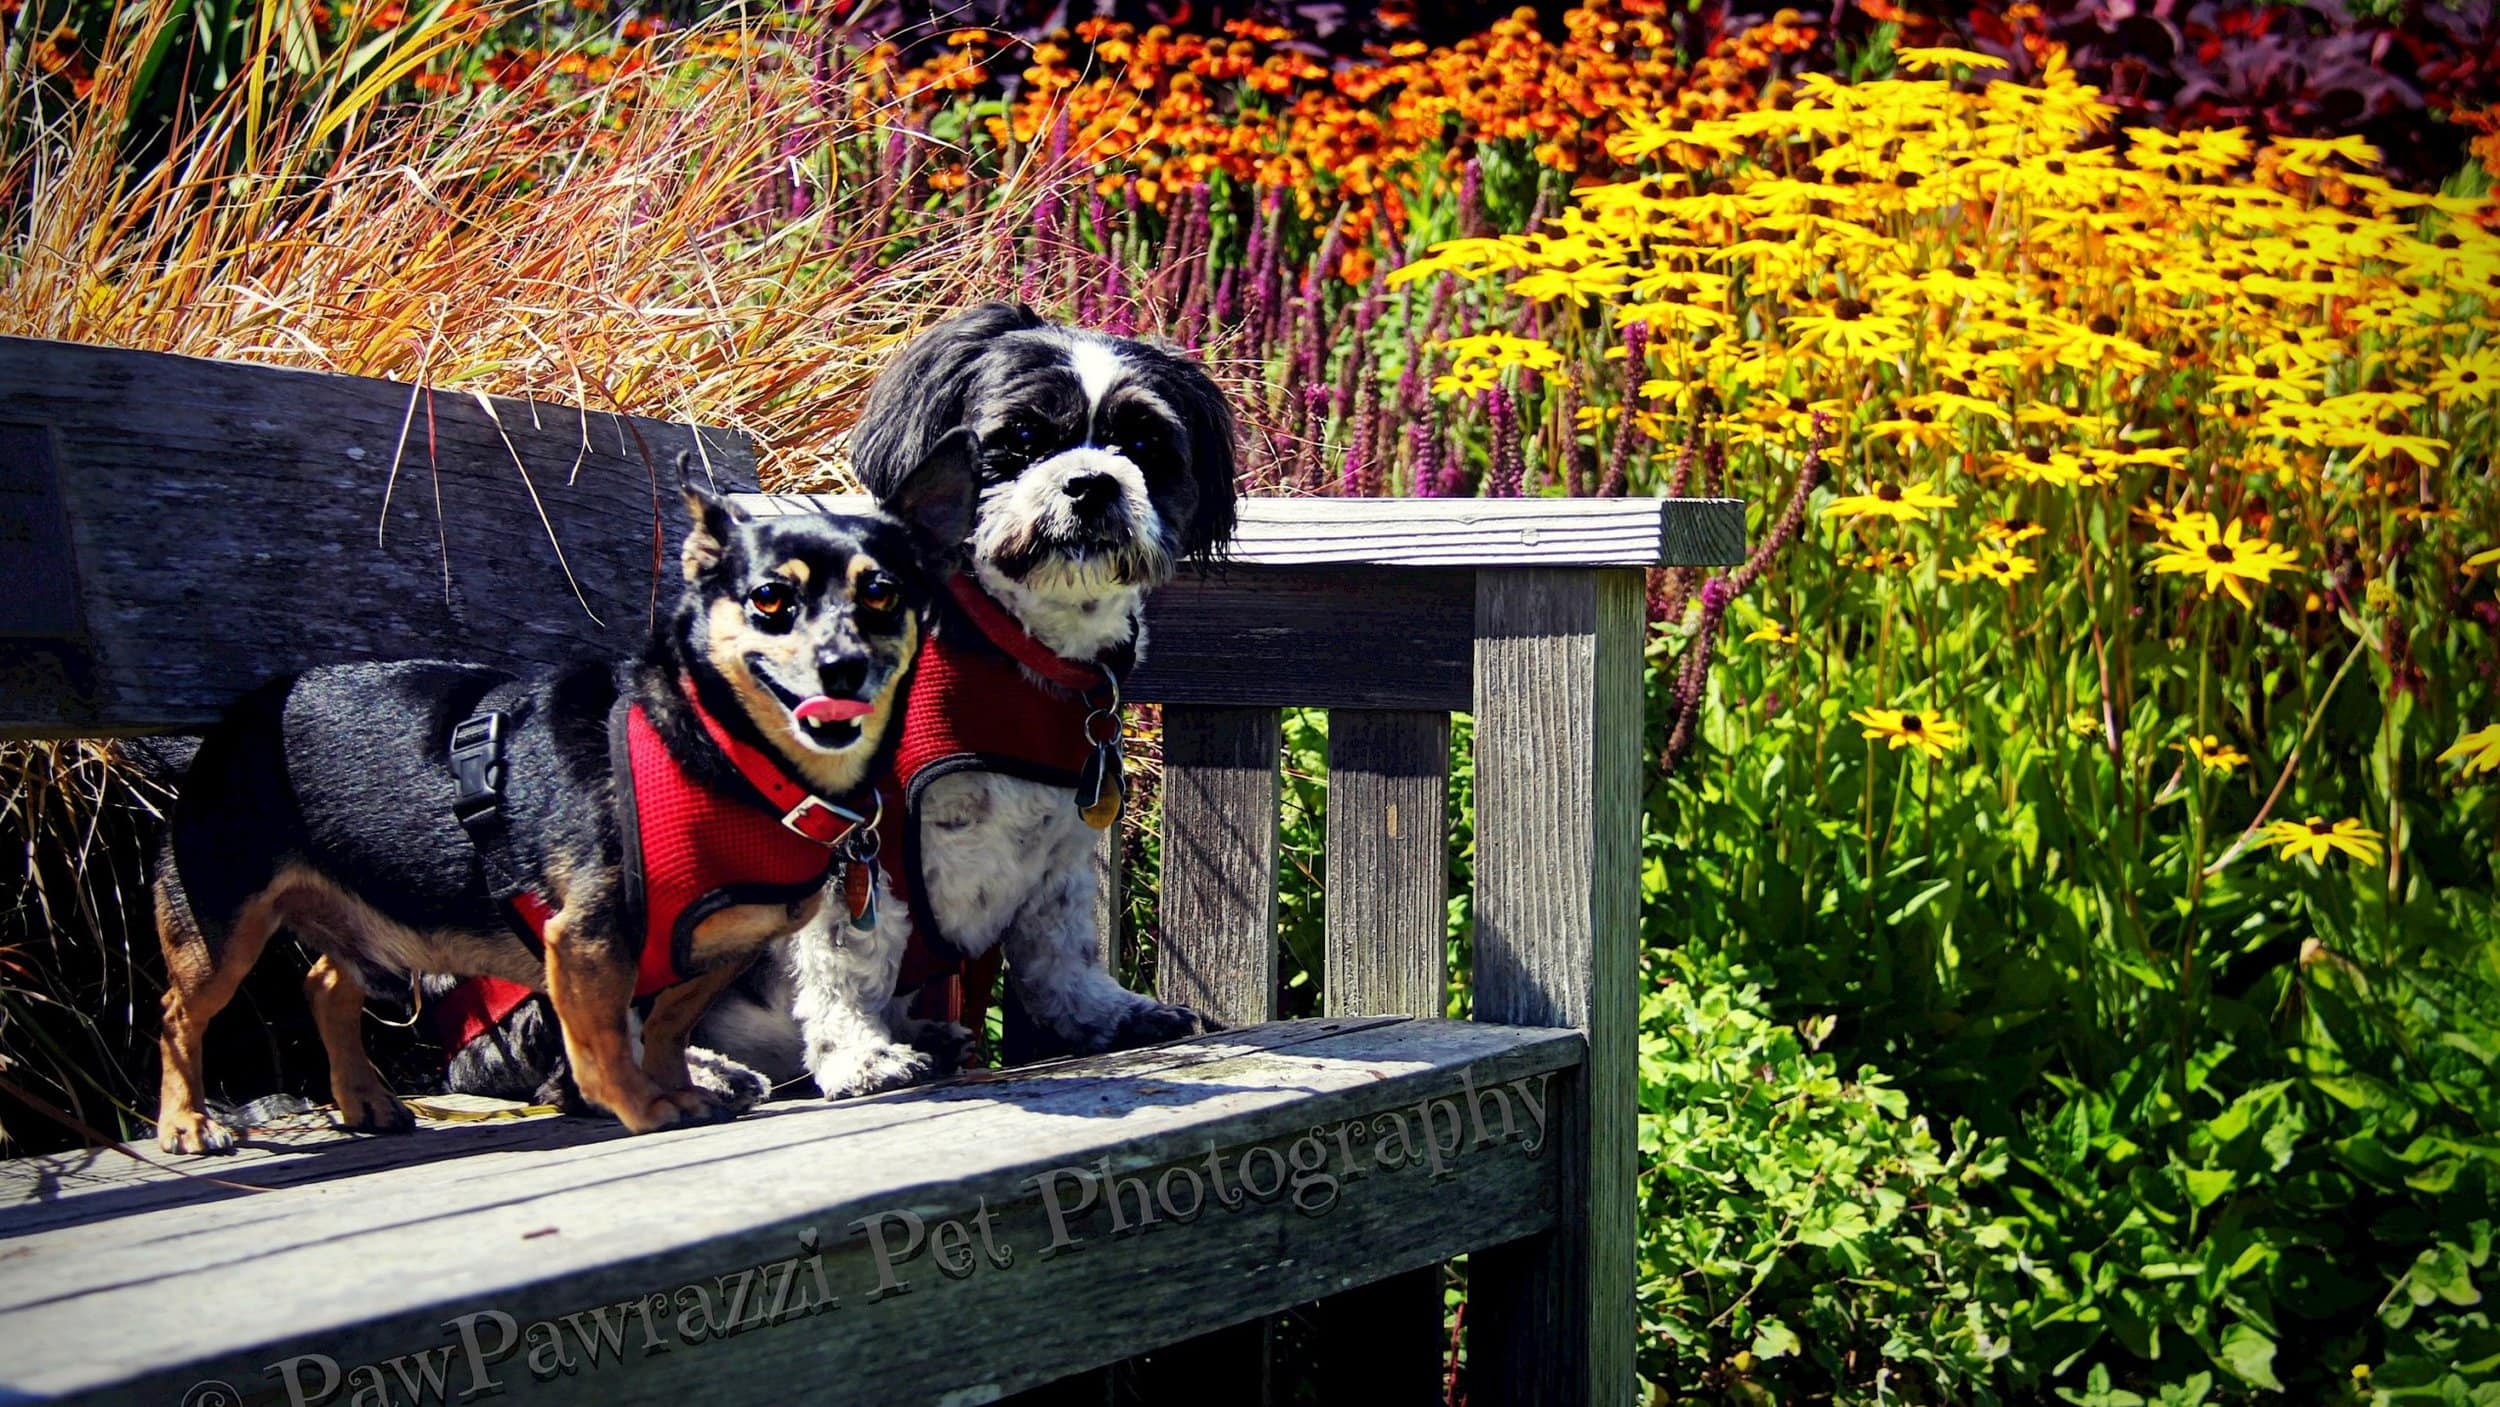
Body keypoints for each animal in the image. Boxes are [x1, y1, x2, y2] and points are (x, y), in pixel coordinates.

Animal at [151, 442, 975, 1154]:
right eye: (771, 599)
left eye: (882, 593)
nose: (843, 665)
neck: (717, 753)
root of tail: (223, 730)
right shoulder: (583, 944)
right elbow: (606, 1043)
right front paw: (644, 1106)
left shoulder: (711, 947)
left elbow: (669, 1026)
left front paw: (681, 1088)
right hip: (223, 932)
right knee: (177, 1015)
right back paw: (188, 1123)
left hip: (366, 925)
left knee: (323, 984)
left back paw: (364, 1101)